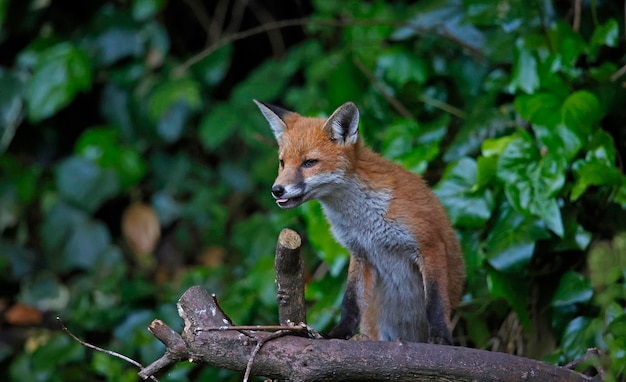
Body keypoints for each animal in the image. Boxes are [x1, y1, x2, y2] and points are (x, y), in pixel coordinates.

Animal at [254, 100, 464, 344]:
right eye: (282, 163)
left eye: (309, 163)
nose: (276, 190)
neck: (364, 222)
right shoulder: (361, 253)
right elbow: (350, 302)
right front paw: (338, 333)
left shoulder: (429, 244)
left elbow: (435, 303)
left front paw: (441, 337)